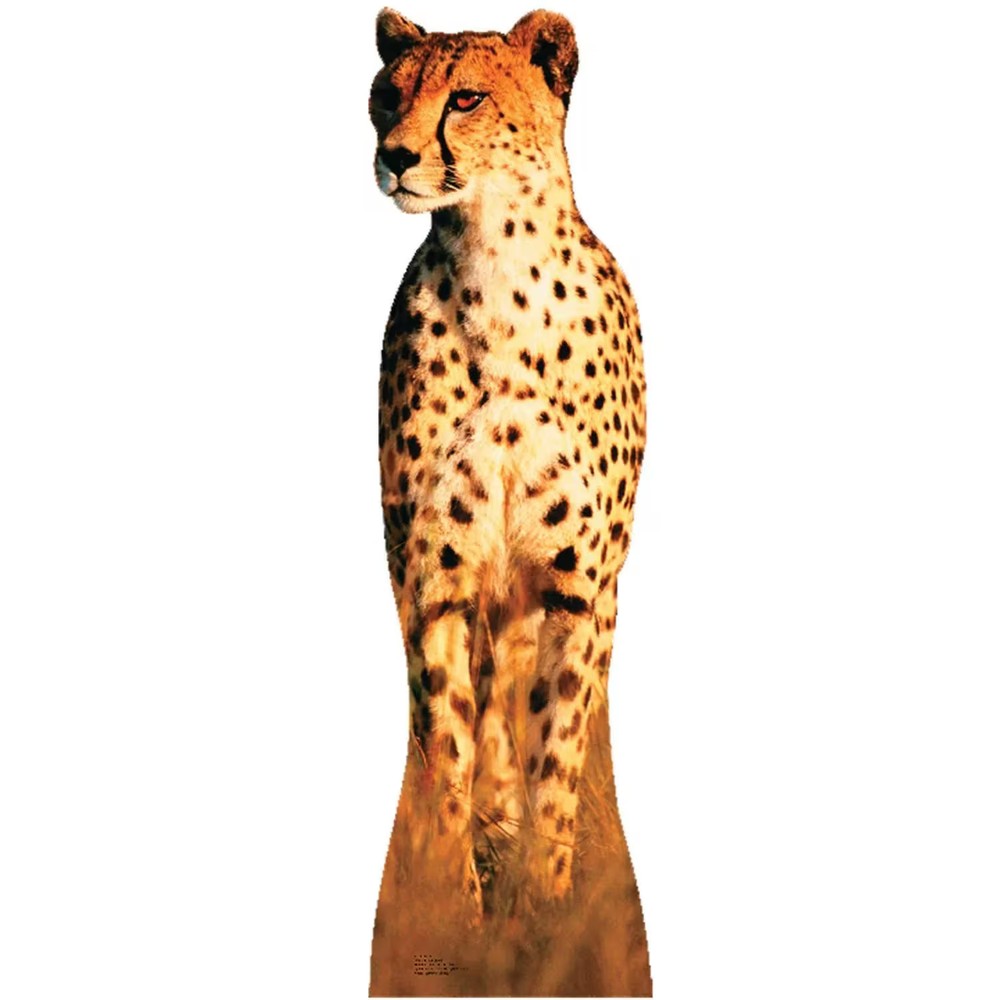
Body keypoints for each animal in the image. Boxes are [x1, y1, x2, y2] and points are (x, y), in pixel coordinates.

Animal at [369, 7, 647, 921]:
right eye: (388, 95)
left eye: (466, 97)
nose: (396, 156)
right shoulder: (435, 580)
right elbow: (446, 744)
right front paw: (457, 908)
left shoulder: (576, 586)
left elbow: (556, 750)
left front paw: (546, 906)